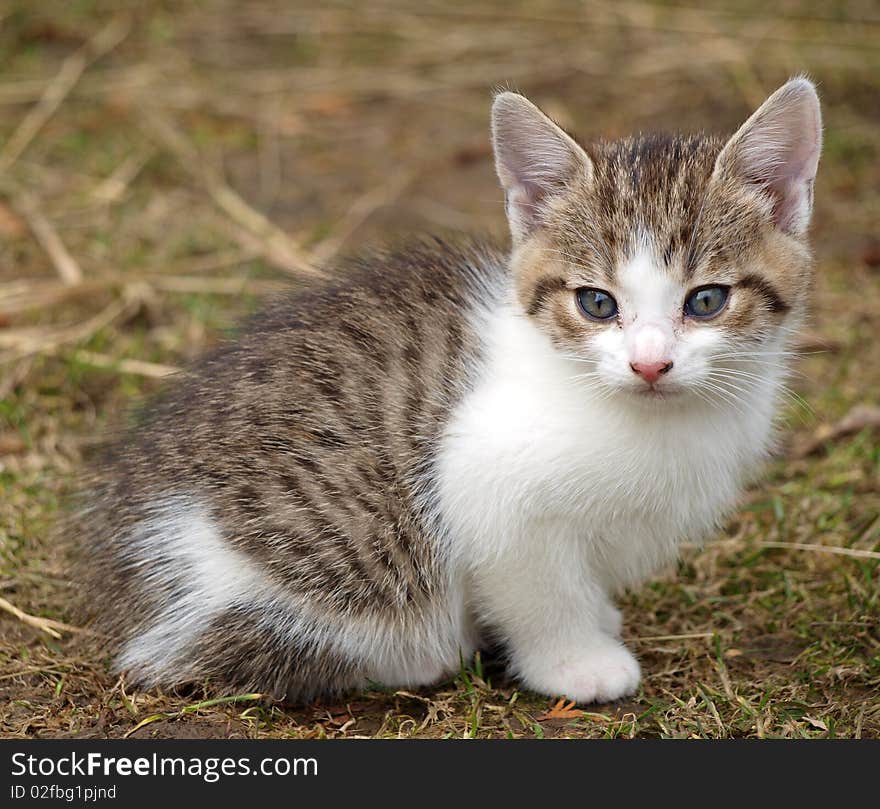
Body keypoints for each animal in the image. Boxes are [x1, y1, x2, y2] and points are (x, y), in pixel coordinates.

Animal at [75, 79, 820, 704]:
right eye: (597, 303)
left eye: (707, 300)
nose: (650, 365)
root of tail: (125, 592)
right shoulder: (485, 486)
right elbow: (540, 591)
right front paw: (576, 662)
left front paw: (599, 618)